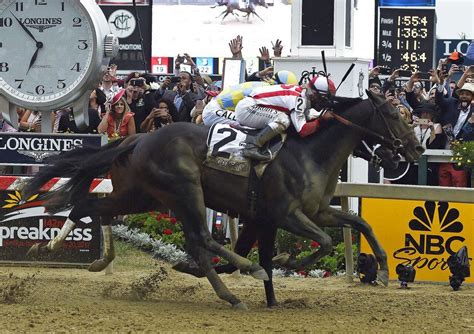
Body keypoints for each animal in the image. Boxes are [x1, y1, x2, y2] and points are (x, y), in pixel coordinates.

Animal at [22, 90, 422, 308]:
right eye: (392, 113)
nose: (415, 149)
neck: (311, 153)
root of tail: (138, 139)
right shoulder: (285, 214)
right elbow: (322, 243)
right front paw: (286, 260)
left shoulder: (319, 211)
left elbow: (360, 223)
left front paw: (383, 269)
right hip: (184, 189)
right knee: (201, 238)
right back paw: (238, 276)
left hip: (142, 196)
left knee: (92, 206)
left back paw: (60, 249)